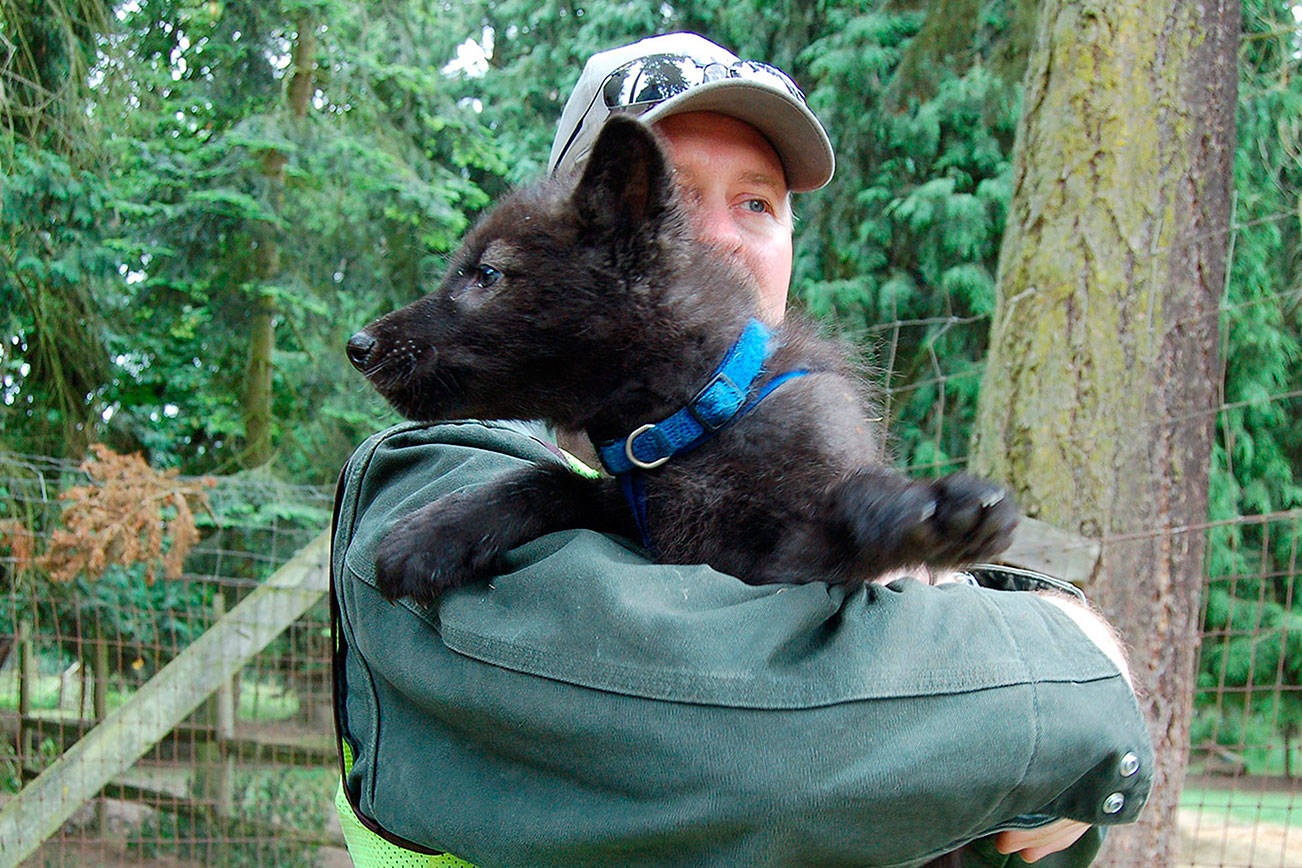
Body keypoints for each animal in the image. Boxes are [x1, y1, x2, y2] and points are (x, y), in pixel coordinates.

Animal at [346, 115, 1017, 605]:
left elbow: (853, 510)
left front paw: (935, 512)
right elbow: (551, 479)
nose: (359, 347)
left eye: (486, 275)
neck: (700, 417)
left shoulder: (786, 556)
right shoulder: (635, 512)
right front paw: (436, 532)